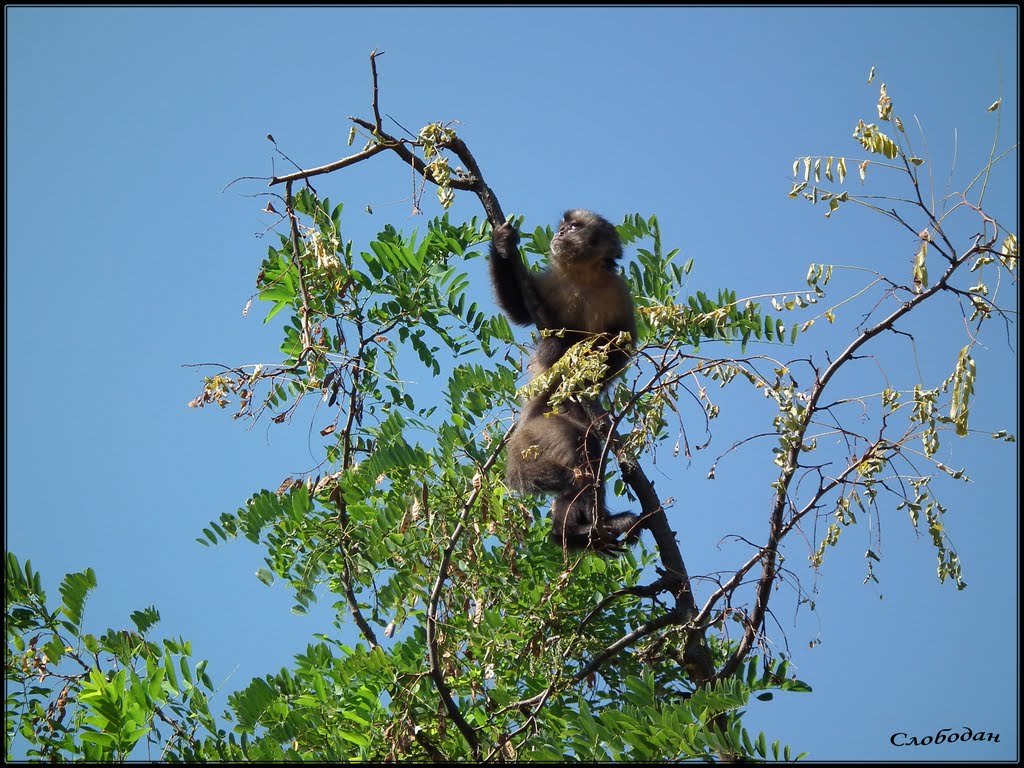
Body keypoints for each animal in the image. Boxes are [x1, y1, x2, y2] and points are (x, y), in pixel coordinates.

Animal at [487, 210, 638, 552]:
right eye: (564, 226)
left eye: (574, 227)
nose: (558, 234)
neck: (583, 279)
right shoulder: (551, 282)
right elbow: (521, 312)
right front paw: (503, 242)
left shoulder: (618, 291)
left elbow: (621, 343)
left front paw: (589, 373)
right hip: (536, 432)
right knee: (578, 453)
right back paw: (570, 530)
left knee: (589, 453)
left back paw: (578, 530)